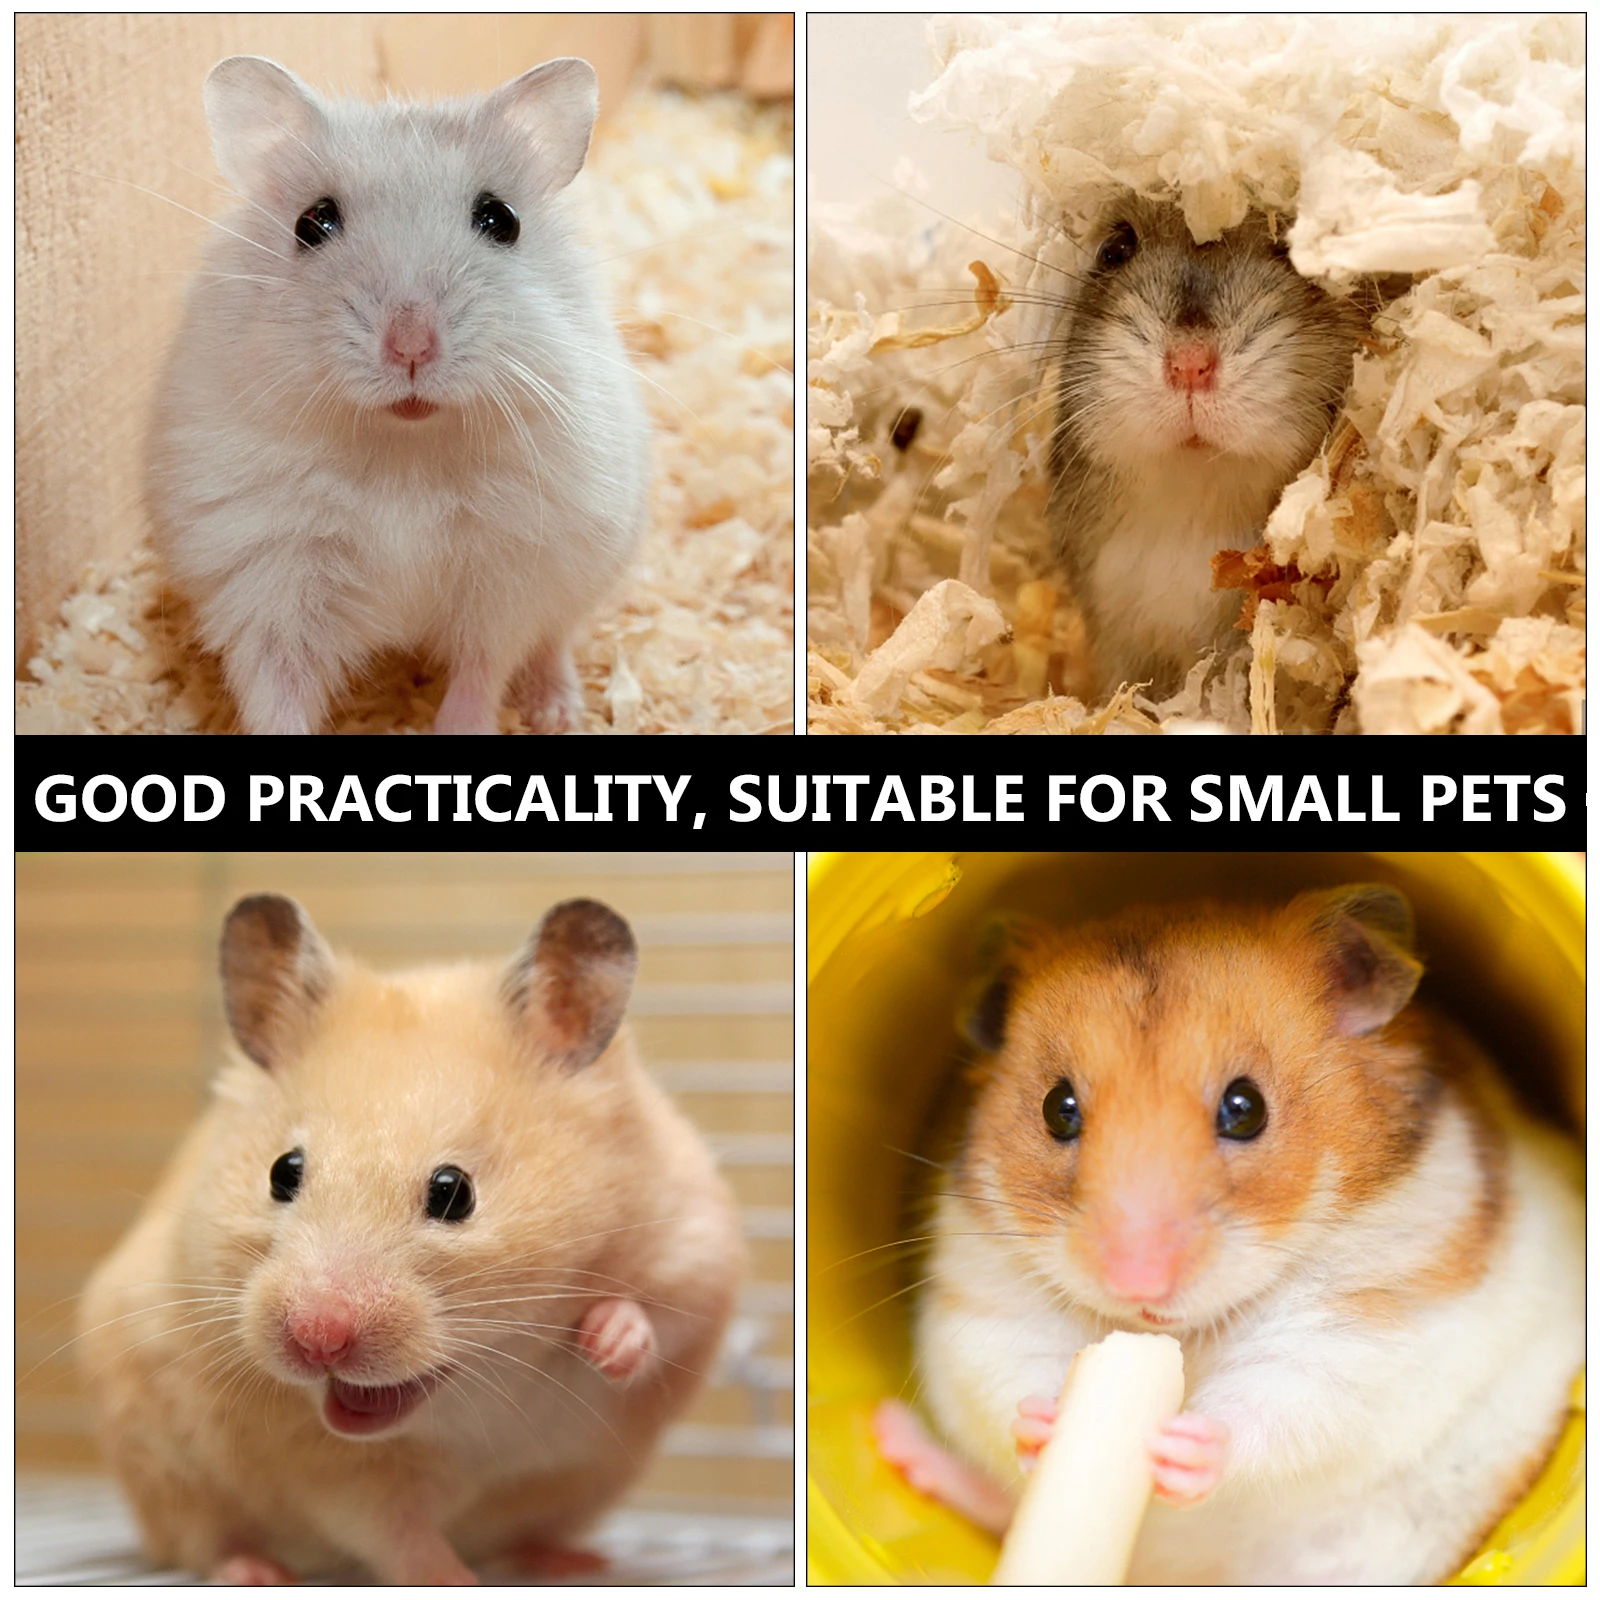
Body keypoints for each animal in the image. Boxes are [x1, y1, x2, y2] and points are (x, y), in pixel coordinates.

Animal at [78, 895, 743, 1584]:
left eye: (454, 1192)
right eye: (282, 1171)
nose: (316, 1339)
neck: (483, 1383)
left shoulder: (698, 1250)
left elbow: (658, 1318)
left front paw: (605, 1343)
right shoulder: (345, 1477)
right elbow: (400, 1539)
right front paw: (459, 1582)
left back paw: (573, 1559)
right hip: (166, 1473)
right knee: (205, 1543)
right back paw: (255, 1571)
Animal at [147, 56, 650, 735]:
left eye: (501, 220)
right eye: (312, 224)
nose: (411, 346)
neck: (404, 450)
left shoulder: (513, 576)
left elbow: (482, 670)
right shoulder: (269, 582)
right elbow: (278, 693)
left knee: (553, 642)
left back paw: (558, 711)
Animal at [874, 886, 1584, 1584]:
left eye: (1246, 1109)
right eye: (1057, 1109)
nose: (1136, 1284)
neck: (1184, 1336)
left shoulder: (1372, 1327)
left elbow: (1283, 1399)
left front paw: (1183, 1446)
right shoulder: (983, 1291)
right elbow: (1012, 1369)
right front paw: (1047, 1424)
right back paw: (896, 1440)